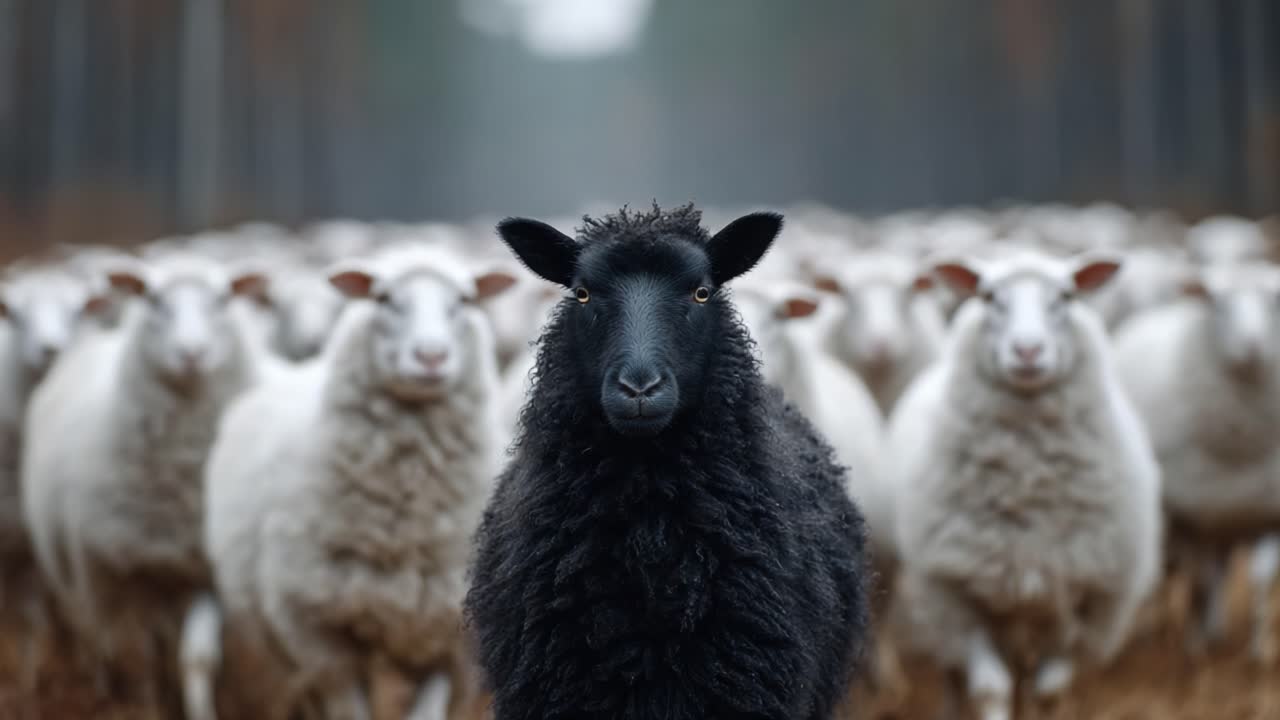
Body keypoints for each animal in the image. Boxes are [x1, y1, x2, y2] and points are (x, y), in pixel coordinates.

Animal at [20, 254, 270, 713]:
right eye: (153, 300)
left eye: (223, 299)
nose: (191, 353)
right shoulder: (120, 573)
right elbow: (134, 651)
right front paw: (144, 705)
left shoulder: (203, 570)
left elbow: (198, 659)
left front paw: (198, 709)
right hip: (80, 574)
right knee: (101, 637)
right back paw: (103, 689)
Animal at [199, 243, 516, 720]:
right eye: (383, 298)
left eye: (464, 300)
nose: (431, 357)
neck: (407, 515)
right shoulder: (320, 635)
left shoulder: (453, 639)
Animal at [888, 249, 1162, 720]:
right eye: (988, 297)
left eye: (1067, 296)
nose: (1028, 350)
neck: (1029, 488)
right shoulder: (959, 593)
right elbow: (990, 690)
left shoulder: (1086, 596)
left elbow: (1049, 692)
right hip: (947, 609)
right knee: (956, 676)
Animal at [1112, 260, 1280, 662]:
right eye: (1217, 302)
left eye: (1274, 300)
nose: (1251, 346)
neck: (1241, 447)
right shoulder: (1190, 516)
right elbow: (1198, 581)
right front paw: (1194, 649)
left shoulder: (1267, 514)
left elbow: (1261, 581)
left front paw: (1260, 649)